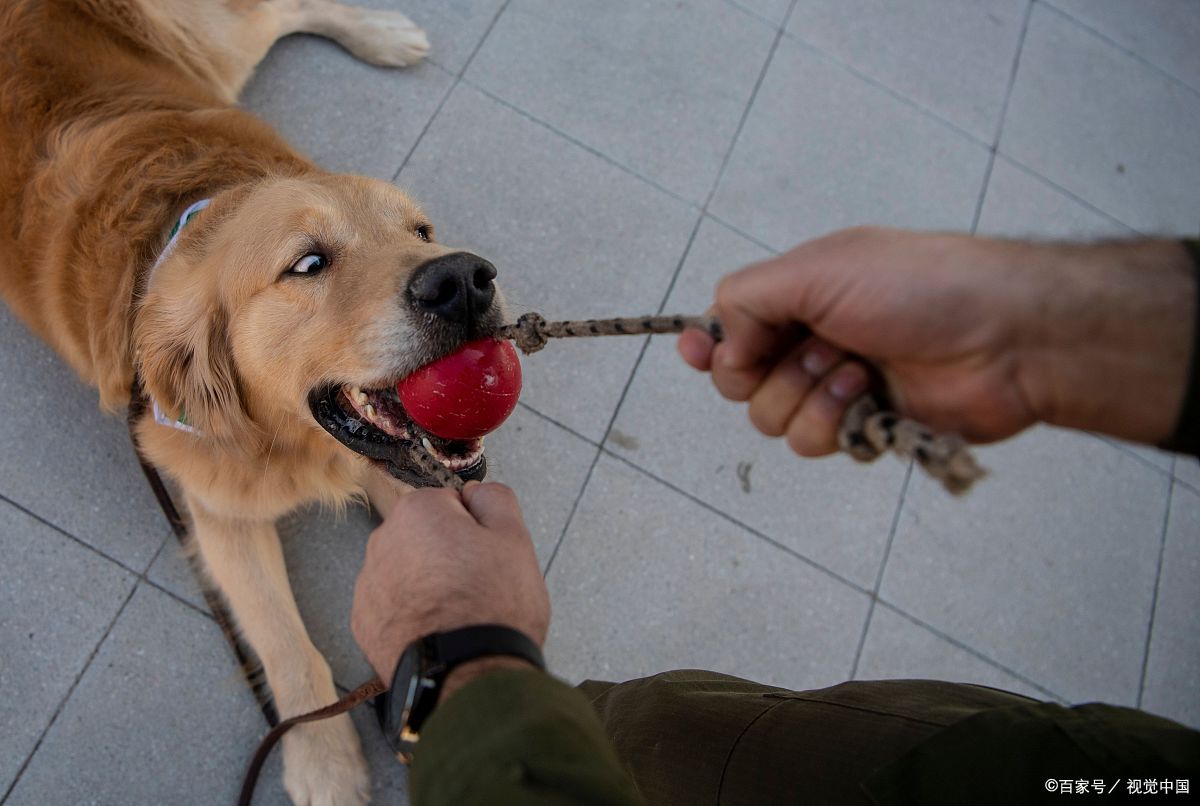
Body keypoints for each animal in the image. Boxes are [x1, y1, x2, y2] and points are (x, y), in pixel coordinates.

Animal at [0, 3, 508, 801]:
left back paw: (386, 36)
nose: (464, 280)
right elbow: (287, 643)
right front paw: (325, 761)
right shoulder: (220, 514)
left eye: (422, 232)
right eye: (308, 264)